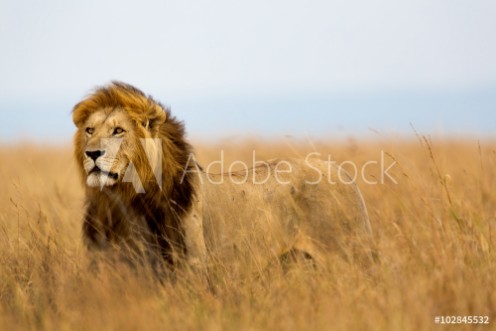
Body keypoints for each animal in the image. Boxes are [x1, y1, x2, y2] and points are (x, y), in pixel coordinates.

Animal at [72, 81, 372, 276]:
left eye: (118, 130)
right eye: (89, 130)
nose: (92, 153)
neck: (124, 199)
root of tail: (342, 171)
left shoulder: (192, 265)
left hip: (347, 256)